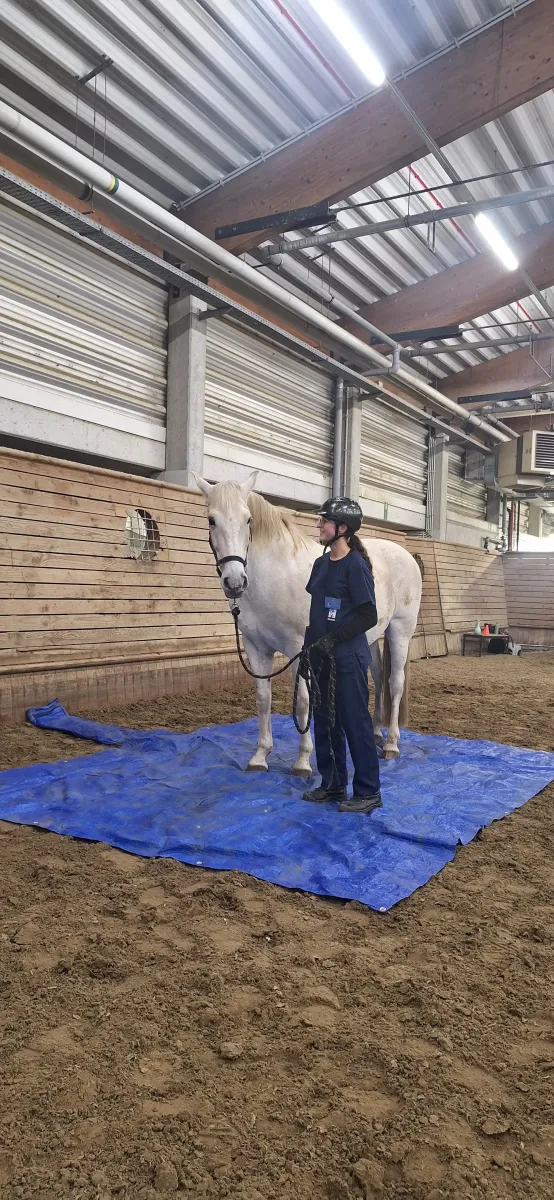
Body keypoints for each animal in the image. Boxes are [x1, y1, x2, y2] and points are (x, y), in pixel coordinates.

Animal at [195, 472, 422, 778]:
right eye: (211, 520)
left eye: (248, 519)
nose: (235, 582)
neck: (274, 573)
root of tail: (404, 554)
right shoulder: (256, 648)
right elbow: (263, 699)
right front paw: (260, 756)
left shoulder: (297, 649)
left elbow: (303, 702)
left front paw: (302, 762)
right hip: (371, 637)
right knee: (377, 679)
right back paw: (375, 733)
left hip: (400, 631)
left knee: (394, 683)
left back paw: (391, 745)